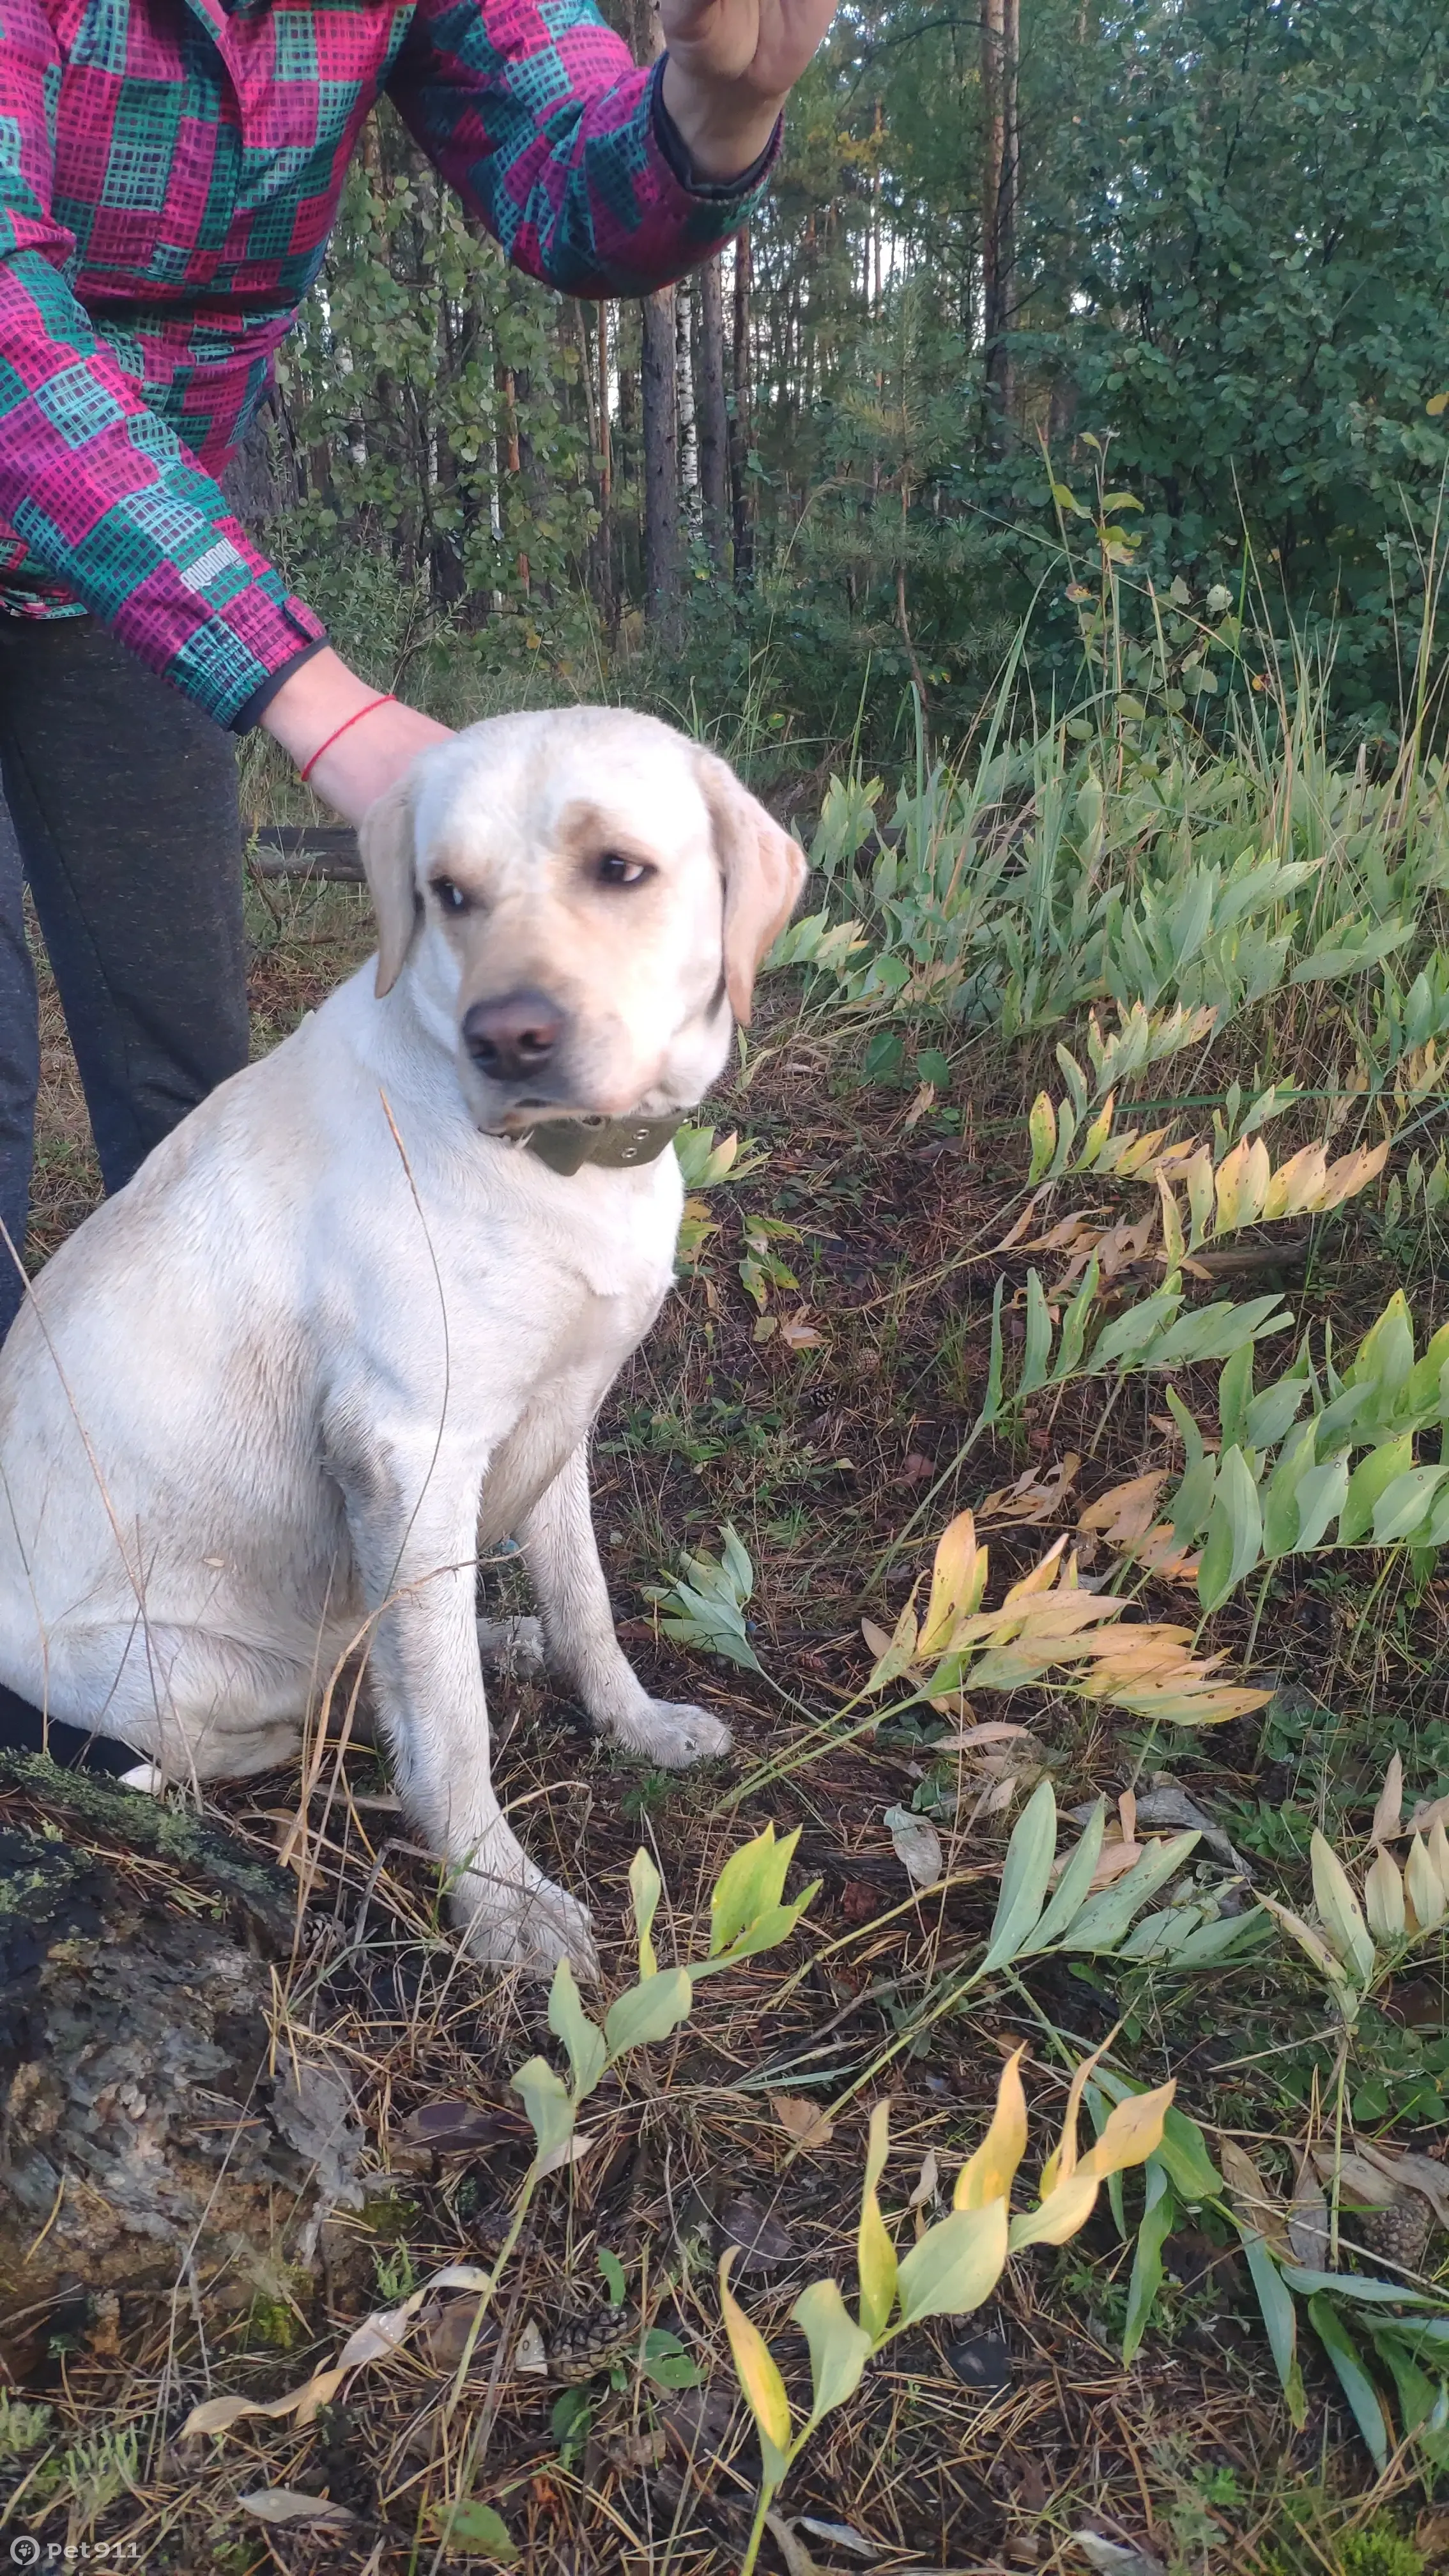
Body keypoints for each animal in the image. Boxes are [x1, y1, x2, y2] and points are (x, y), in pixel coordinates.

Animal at [0, 716, 799, 1978]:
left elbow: (585, 1602)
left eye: (618, 868)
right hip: (183, 1664)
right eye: (449, 894)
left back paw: (501, 1635)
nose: (508, 1038)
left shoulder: (559, 1419)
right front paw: (500, 1897)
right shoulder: (409, 1449)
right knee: (276, 1716)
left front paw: (630, 1720)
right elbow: (451, 1726)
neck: (561, 1164)